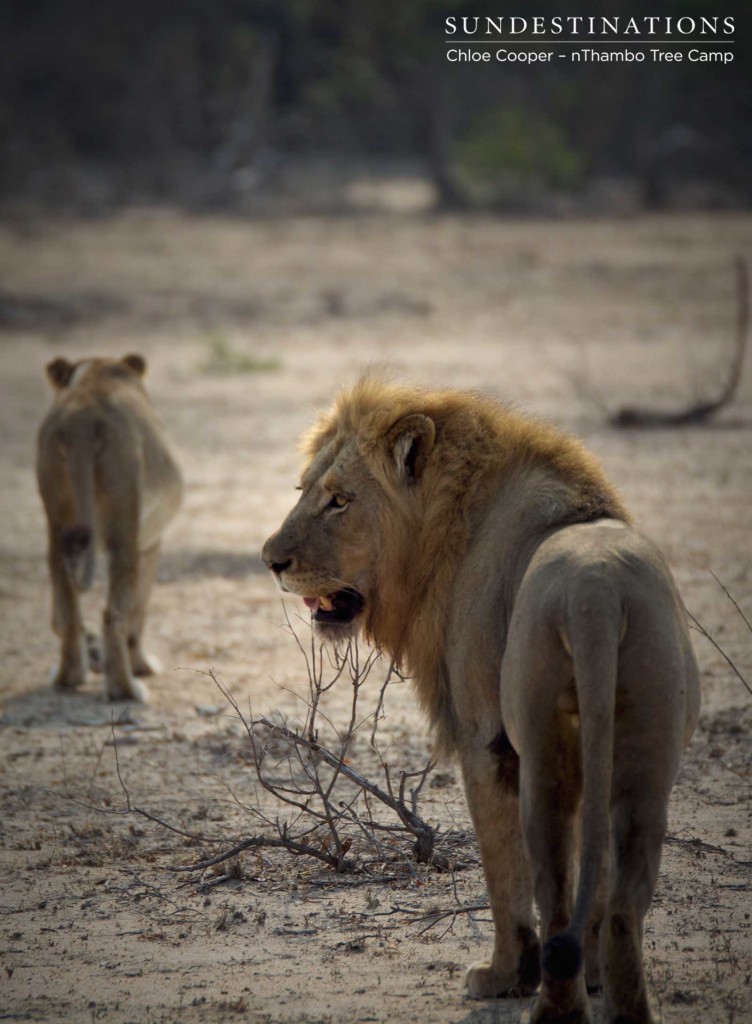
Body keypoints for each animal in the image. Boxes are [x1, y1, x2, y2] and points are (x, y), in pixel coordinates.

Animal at [38, 354, 184, 704]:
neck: (96, 371)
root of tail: (82, 418)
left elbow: (59, 615)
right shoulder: (151, 543)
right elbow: (139, 610)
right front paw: (142, 665)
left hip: (56, 522)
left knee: (68, 605)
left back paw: (68, 676)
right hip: (124, 523)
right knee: (114, 614)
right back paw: (126, 688)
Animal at [262, 378, 704, 1024]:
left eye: (340, 501)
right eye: (303, 492)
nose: (270, 561)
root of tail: (597, 591)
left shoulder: (484, 741)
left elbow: (503, 877)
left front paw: (504, 976)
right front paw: (588, 977)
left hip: (543, 754)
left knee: (552, 885)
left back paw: (552, 1007)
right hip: (646, 762)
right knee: (624, 905)